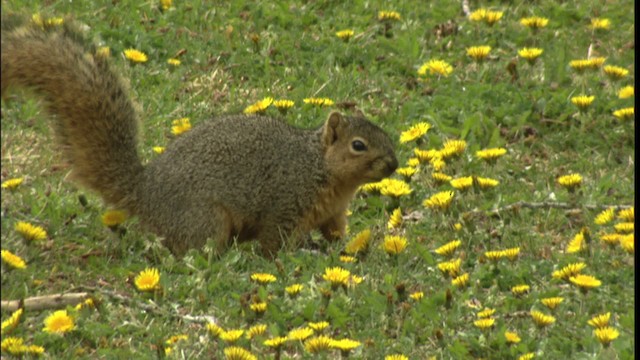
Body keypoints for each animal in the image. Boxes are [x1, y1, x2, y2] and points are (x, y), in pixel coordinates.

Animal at [1, 16, 400, 258]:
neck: (322, 169)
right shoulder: (284, 203)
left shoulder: (334, 213)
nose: (394, 164)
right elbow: (273, 242)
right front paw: (290, 258)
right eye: (358, 146)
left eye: (384, 134)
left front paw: (345, 249)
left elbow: (336, 233)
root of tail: (144, 192)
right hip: (205, 218)